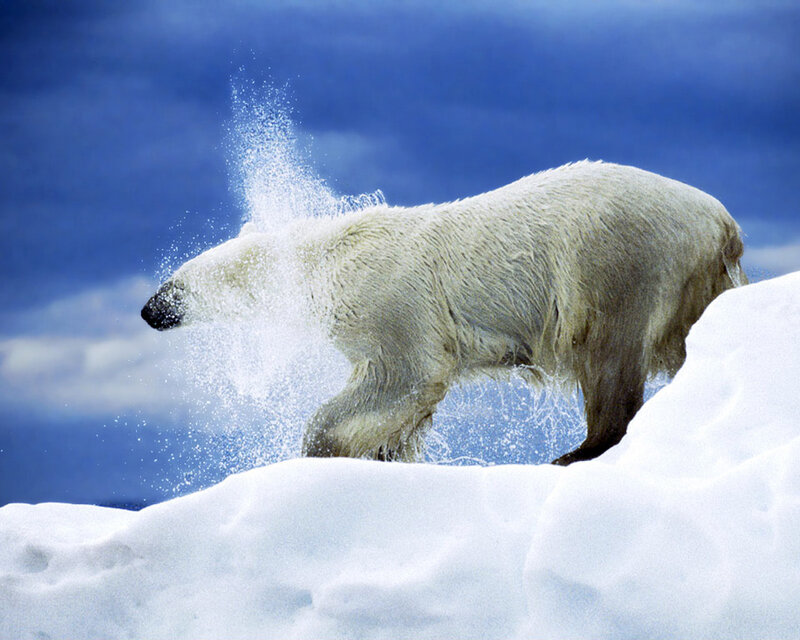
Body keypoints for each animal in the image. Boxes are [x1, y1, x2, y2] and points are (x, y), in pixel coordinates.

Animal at [142, 161, 746, 465]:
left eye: (177, 285)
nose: (148, 311)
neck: (324, 257)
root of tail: (722, 221)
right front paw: (384, 453)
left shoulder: (388, 300)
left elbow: (404, 375)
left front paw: (322, 449)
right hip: (693, 279)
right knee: (680, 341)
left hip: (614, 258)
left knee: (608, 354)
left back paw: (578, 451)